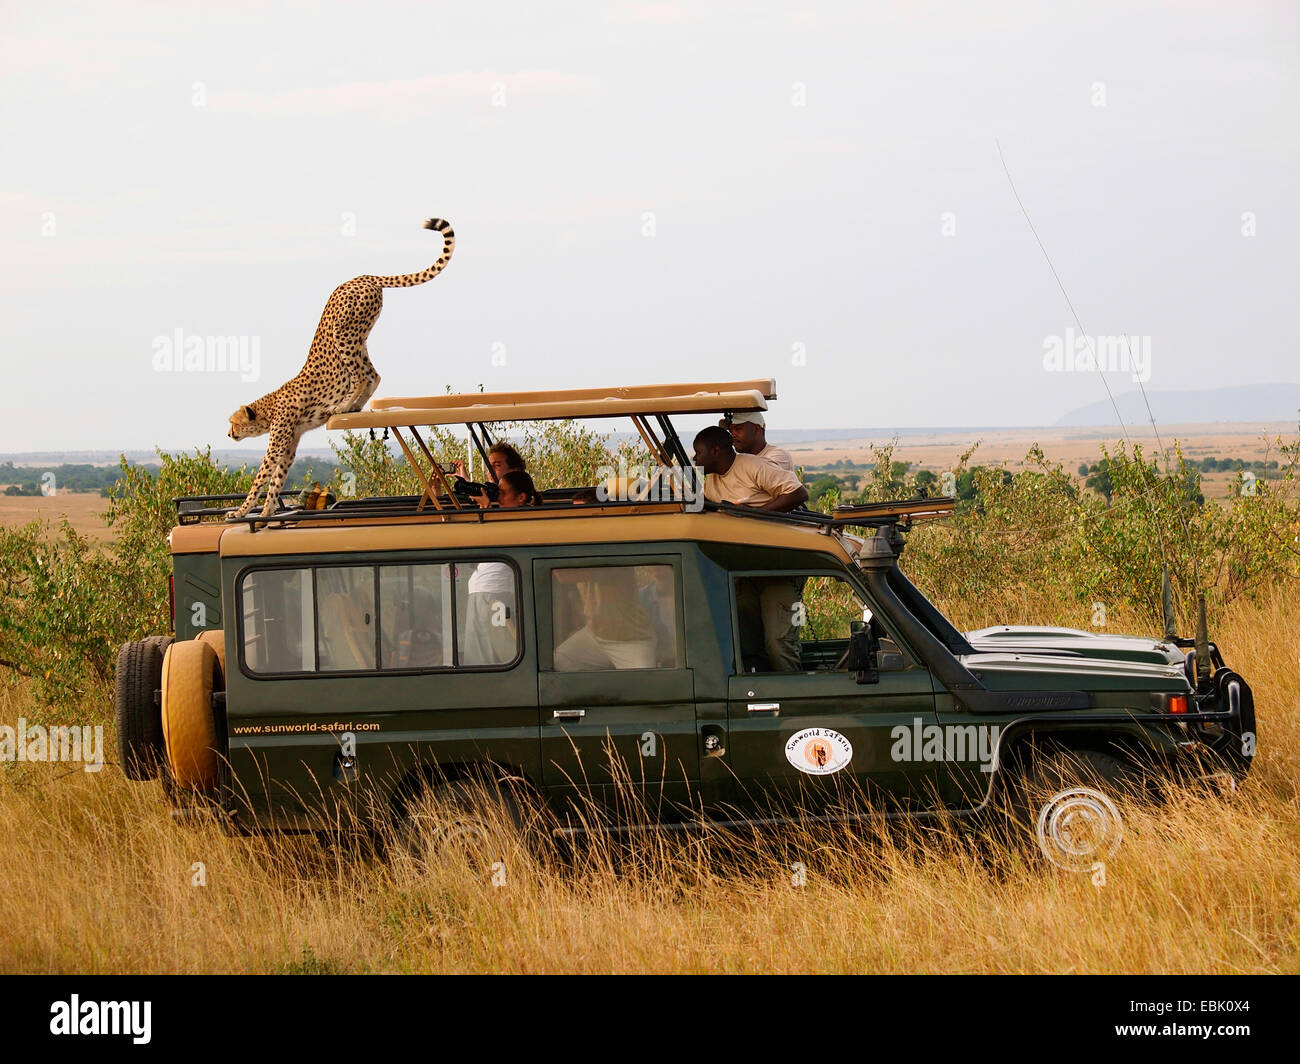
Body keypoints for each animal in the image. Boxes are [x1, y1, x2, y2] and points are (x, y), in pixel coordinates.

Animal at [228, 214, 457, 517]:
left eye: (233, 422)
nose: (228, 433)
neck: (269, 408)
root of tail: (362, 276)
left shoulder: (278, 444)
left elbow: (260, 478)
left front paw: (241, 512)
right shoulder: (289, 445)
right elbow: (276, 479)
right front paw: (266, 514)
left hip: (344, 332)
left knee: (363, 375)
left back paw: (343, 406)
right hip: (359, 334)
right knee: (373, 373)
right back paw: (354, 406)